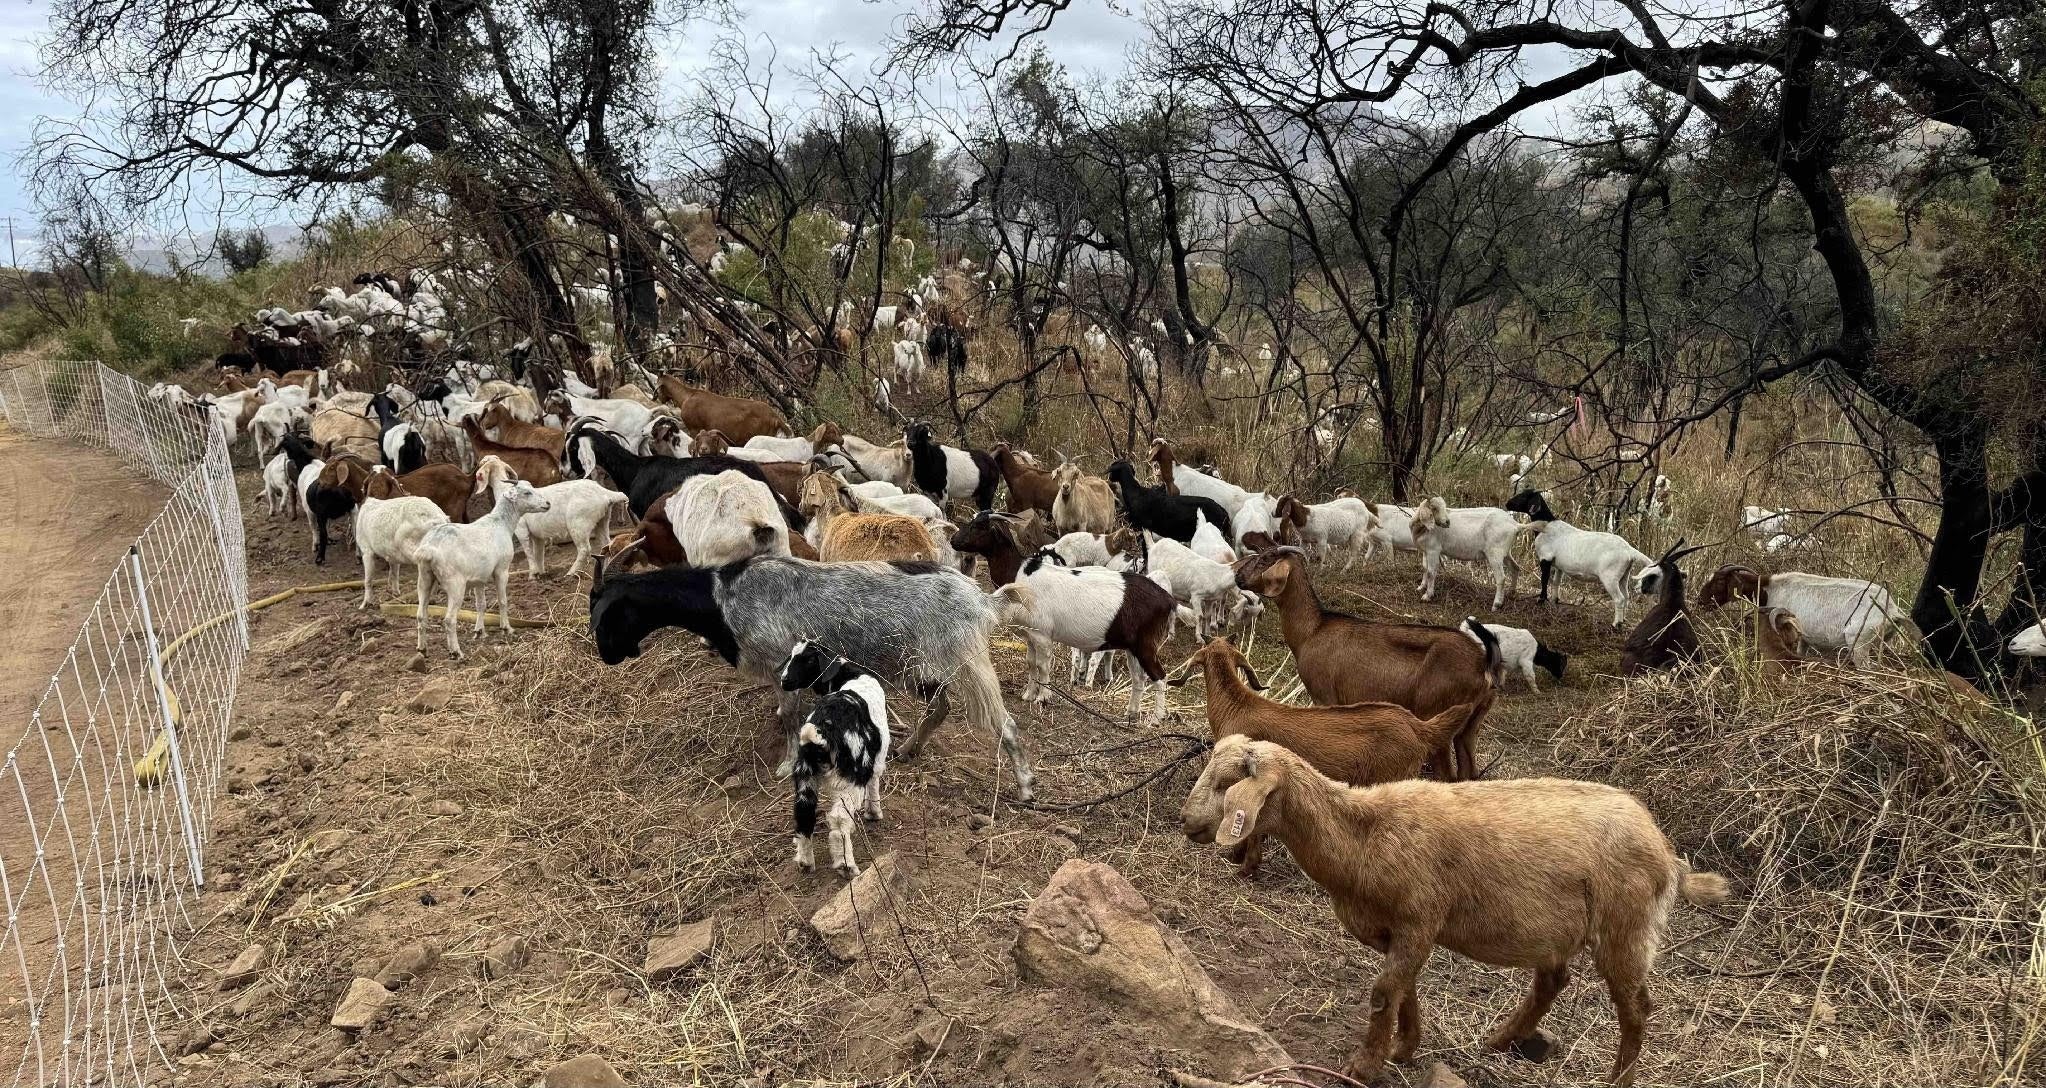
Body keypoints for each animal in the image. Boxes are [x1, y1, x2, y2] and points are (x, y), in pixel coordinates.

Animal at [588, 554, 1035, 798]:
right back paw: (909, 750)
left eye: (610, 617)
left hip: (967, 663)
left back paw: (1026, 785)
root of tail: (984, 599)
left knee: (1006, 723)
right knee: (940, 707)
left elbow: (789, 717)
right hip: (919, 669)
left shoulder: (780, 666)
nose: (606, 657)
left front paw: (787, 766)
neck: (721, 596)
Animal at [1182, 735, 1729, 1087]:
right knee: (1553, 981)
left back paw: (1617, 1079)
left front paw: (1365, 1066)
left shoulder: (1420, 918)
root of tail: (1667, 852)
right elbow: (1403, 988)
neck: (1363, 836)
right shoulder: (1394, 929)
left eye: (1226, 783)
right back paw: (1503, 1039)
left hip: (1626, 926)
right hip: (1558, 929)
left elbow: (1384, 991)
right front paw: (1404, 1047)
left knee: (1636, 1009)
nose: (1186, 821)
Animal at [1234, 548, 1497, 781]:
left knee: (1446, 775)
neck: (1313, 630)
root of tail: (1482, 663)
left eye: (1265, 559)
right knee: (1468, 771)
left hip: (1437, 714)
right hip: (1470, 726)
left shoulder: (1324, 696)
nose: (1238, 575)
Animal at [1696, 565, 1902, 666]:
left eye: (1719, 581)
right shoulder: (1804, 638)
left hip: (1859, 644)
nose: (1700, 600)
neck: (1769, 588)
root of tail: (1892, 610)